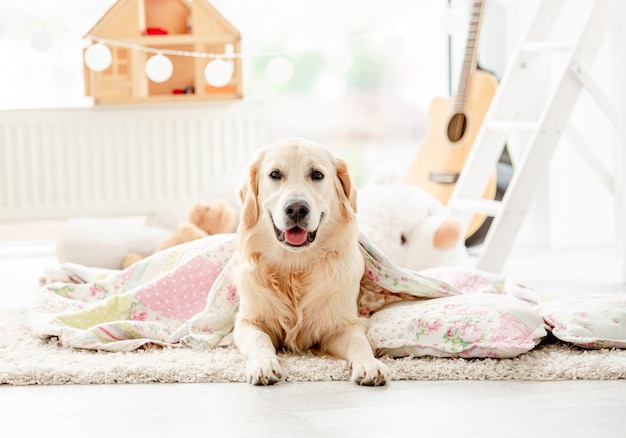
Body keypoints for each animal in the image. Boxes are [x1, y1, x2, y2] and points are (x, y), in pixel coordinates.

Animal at [232, 138, 388, 386]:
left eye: (317, 174)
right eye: (275, 174)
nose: (296, 208)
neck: (295, 267)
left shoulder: (341, 324)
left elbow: (359, 342)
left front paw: (369, 365)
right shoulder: (248, 321)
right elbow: (259, 338)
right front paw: (263, 364)